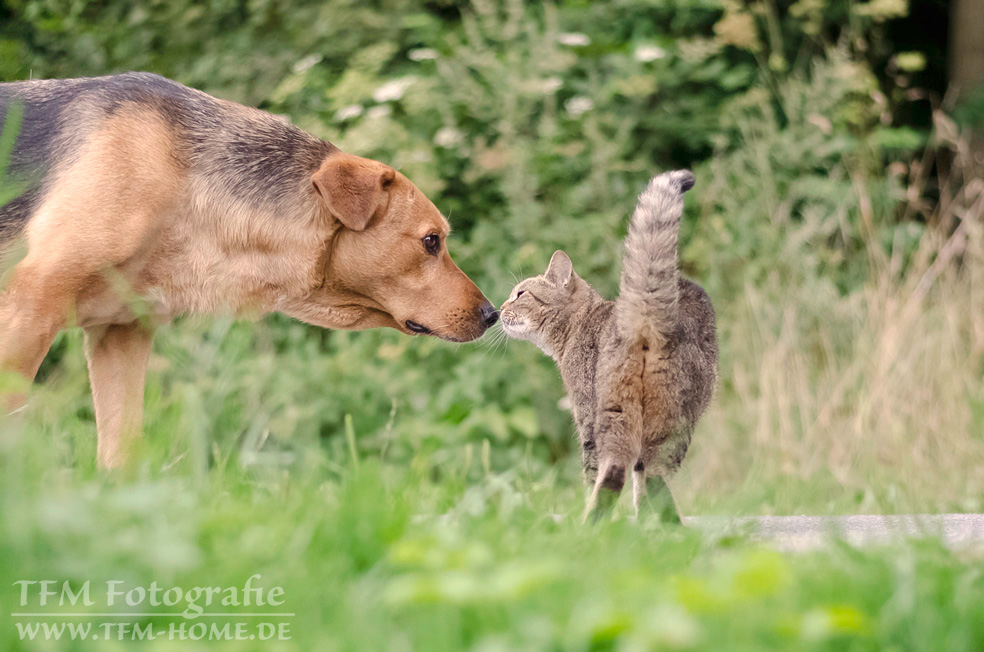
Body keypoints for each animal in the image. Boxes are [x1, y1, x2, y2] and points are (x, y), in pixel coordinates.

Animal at [1, 72, 500, 468]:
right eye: (431, 241)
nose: (492, 314)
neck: (184, 186)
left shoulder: (120, 334)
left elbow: (120, 452)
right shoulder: (30, 307)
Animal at [500, 171, 716, 524]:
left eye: (520, 294)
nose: (497, 309)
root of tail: (647, 313)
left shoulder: (585, 413)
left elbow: (592, 473)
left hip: (614, 413)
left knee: (616, 471)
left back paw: (592, 524)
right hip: (674, 420)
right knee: (651, 474)